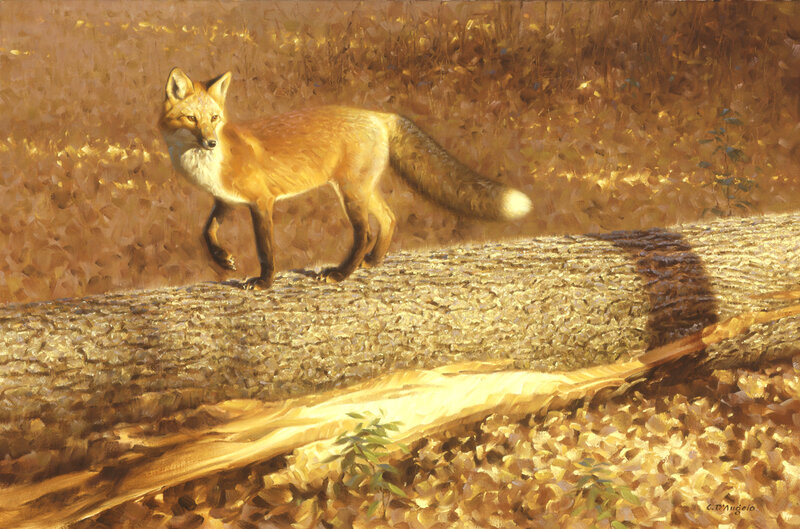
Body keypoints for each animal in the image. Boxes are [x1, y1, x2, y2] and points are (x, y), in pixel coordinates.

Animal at [158, 67, 532, 289]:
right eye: (191, 118)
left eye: (214, 118)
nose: (210, 142)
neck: (210, 164)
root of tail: (378, 115)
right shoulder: (226, 199)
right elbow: (207, 230)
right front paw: (223, 259)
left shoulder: (261, 202)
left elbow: (265, 249)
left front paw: (264, 282)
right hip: (362, 190)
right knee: (390, 218)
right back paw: (374, 261)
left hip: (350, 193)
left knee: (364, 231)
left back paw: (341, 273)